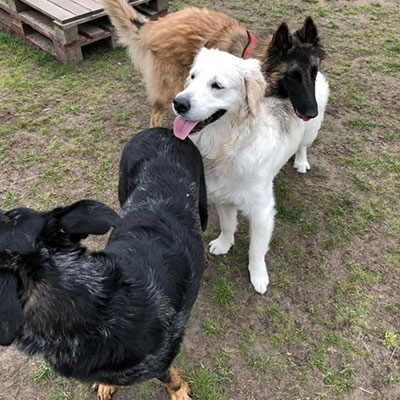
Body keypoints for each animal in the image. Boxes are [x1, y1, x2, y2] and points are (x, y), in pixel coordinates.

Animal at [0, 129, 206, 400]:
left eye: (5, 214)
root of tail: (161, 131)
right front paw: (107, 384)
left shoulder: (159, 360)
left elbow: (167, 376)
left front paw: (179, 391)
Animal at [172, 49, 328, 294]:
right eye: (193, 76)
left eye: (217, 85)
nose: (178, 103)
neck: (230, 146)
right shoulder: (223, 198)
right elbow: (227, 225)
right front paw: (224, 244)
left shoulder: (262, 212)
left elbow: (256, 249)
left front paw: (258, 276)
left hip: (311, 128)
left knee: (303, 145)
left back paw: (301, 162)